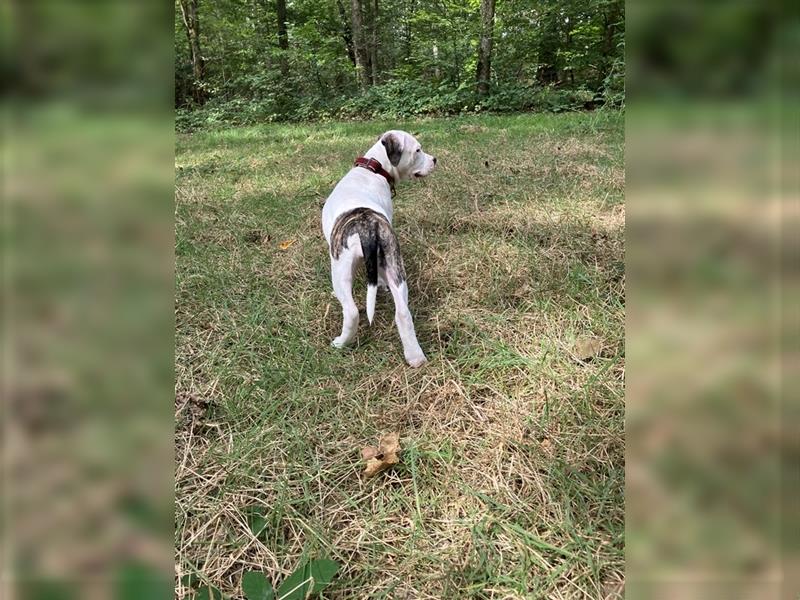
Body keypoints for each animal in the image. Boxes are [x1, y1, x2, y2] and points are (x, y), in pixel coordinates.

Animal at [322, 130, 438, 366]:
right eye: (418, 150)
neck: (374, 168)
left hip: (340, 270)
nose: (434, 160)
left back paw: (341, 343)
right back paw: (415, 357)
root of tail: (370, 228)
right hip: (394, 264)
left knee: (352, 311)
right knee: (402, 312)